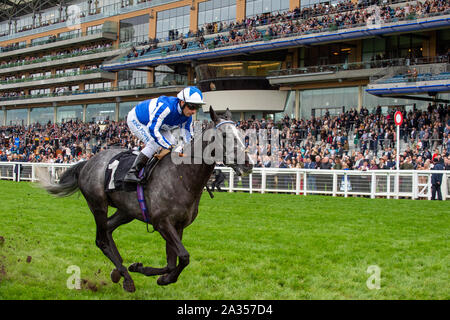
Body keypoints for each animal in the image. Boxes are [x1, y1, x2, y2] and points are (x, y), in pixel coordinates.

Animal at [35, 107, 253, 292]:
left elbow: (172, 262)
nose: (248, 164)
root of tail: (87, 162)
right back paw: (126, 277)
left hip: (126, 211)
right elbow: (184, 257)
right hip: (98, 204)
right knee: (101, 239)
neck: (182, 176)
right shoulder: (162, 222)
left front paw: (146, 270)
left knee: (108, 230)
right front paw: (159, 277)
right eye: (224, 135)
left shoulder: (178, 225)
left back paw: (119, 271)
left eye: (241, 134)